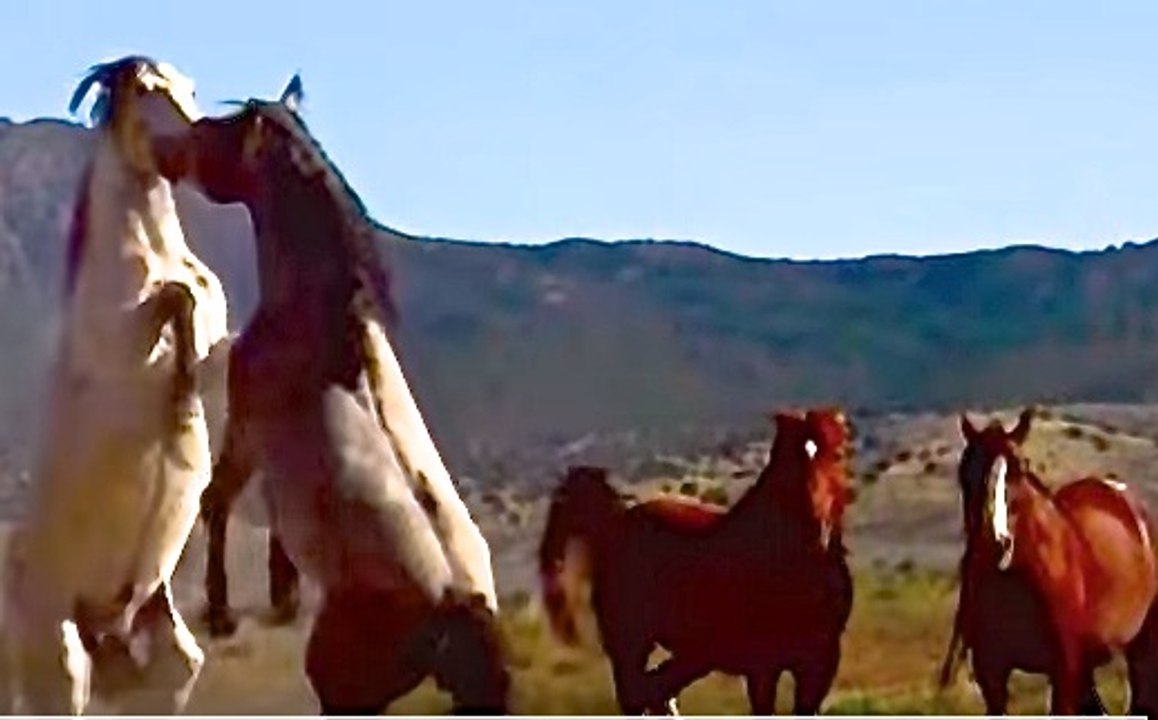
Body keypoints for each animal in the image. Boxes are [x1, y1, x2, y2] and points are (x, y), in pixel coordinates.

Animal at [1, 56, 231, 715]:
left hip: (166, 661)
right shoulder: (122, 341)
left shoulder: (215, 329)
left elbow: (206, 326)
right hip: (60, 663)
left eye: (189, 88)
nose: (202, 146)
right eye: (144, 88)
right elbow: (173, 303)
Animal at [153, 76, 509, 715]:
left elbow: (217, 499)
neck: (316, 322)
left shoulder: (248, 430)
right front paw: (282, 593)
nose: (166, 149)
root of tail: (457, 609)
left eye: (216, 132)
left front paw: (222, 611)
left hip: (341, 688)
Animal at [538, 408, 855, 715]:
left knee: (656, 691)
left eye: (837, 456)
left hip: (690, 655)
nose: (817, 530)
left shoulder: (819, 666)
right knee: (638, 694)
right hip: (631, 647)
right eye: (791, 461)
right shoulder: (763, 667)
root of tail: (616, 524)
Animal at [940, 407, 1158, 715]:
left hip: (1141, 648)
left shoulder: (1064, 672)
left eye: (1019, 469)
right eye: (965, 470)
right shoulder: (991, 675)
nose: (994, 542)